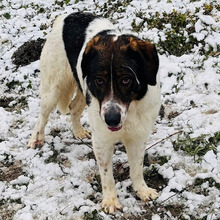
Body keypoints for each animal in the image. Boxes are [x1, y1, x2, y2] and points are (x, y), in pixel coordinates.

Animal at [28, 12, 161, 213]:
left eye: (126, 80)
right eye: (99, 80)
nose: (111, 120)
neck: (131, 109)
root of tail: (68, 15)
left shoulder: (138, 136)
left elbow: (137, 168)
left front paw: (142, 190)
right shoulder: (102, 140)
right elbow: (107, 174)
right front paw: (111, 200)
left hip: (85, 91)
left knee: (74, 107)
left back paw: (78, 132)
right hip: (54, 88)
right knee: (43, 115)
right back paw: (36, 138)